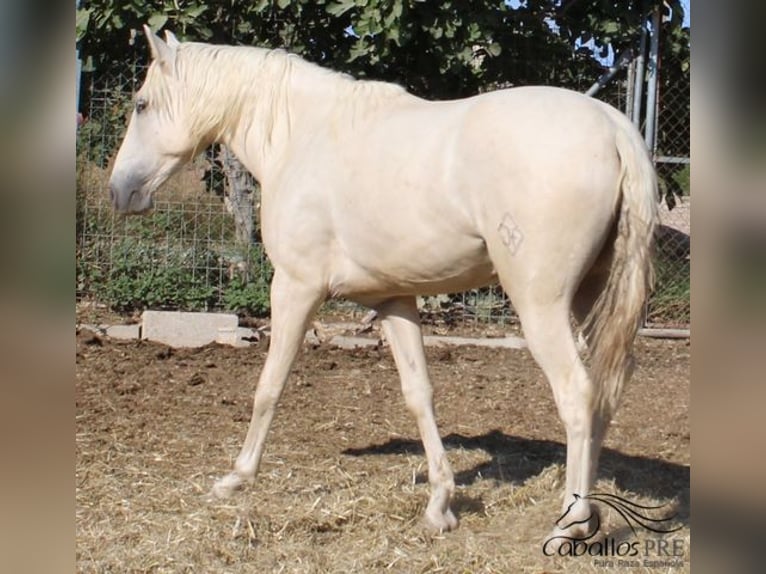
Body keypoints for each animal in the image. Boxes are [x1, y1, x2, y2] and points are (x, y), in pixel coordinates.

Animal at [109, 25, 660, 540]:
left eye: (141, 103)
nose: (120, 192)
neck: (302, 137)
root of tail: (611, 126)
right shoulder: (394, 299)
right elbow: (419, 393)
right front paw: (439, 505)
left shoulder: (294, 287)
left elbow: (270, 385)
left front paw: (236, 478)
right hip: (590, 299)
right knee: (606, 391)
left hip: (541, 306)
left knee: (577, 393)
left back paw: (572, 522)